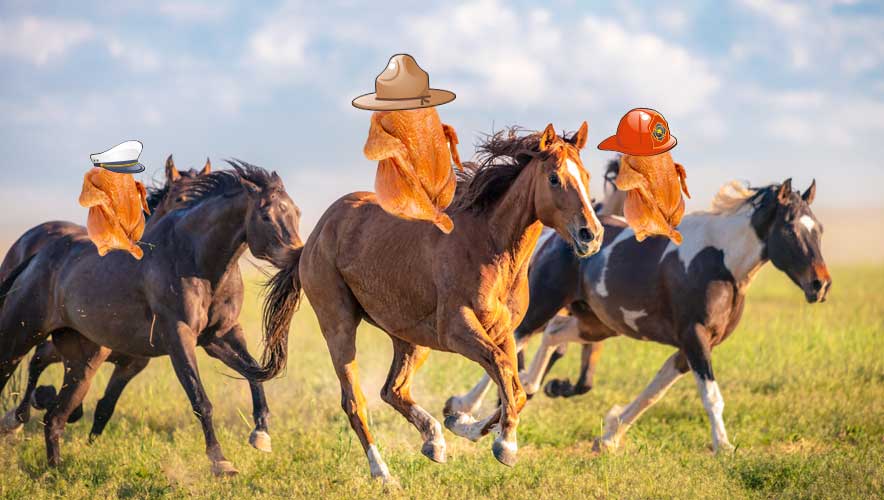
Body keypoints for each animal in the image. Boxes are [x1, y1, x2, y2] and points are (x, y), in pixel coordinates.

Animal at [256, 122, 604, 484]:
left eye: (586, 175)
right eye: (554, 178)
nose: (591, 234)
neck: (489, 246)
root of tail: (314, 236)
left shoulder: (503, 331)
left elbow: (515, 386)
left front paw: (462, 423)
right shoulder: (456, 329)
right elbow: (503, 370)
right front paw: (505, 444)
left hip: (411, 339)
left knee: (393, 390)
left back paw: (434, 440)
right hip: (339, 327)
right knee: (355, 402)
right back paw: (383, 473)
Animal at [452, 177, 832, 454]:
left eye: (819, 229)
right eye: (790, 229)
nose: (821, 284)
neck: (720, 263)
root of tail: (556, 237)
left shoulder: (689, 347)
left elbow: (654, 392)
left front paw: (609, 435)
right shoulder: (695, 338)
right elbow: (711, 397)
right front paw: (723, 446)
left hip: (596, 323)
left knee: (551, 337)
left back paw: (530, 387)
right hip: (546, 304)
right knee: (513, 344)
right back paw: (463, 411)